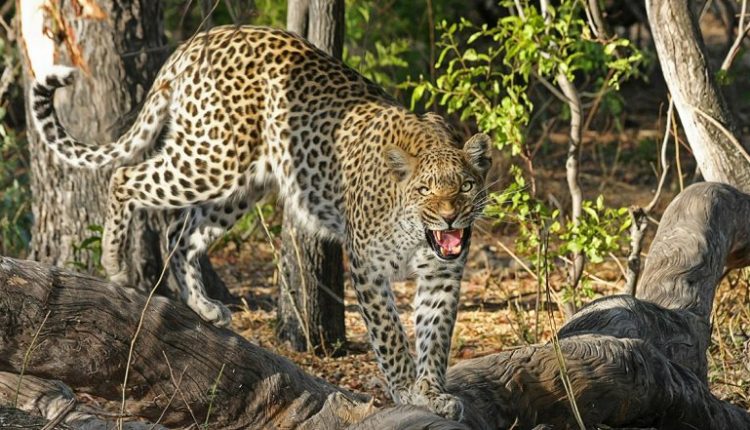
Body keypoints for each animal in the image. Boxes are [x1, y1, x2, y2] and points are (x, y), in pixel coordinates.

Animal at [30, 25, 493, 420]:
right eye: (425, 190)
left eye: (467, 186)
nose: (450, 216)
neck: (417, 232)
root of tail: (199, 40)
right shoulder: (367, 266)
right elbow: (391, 336)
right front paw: (407, 390)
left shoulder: (443, 275)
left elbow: (435, 337)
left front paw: (432, 393)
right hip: (212, 159)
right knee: (125, 177)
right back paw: (115, 264)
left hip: (240, 185)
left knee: (179, 233)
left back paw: (203, 306)